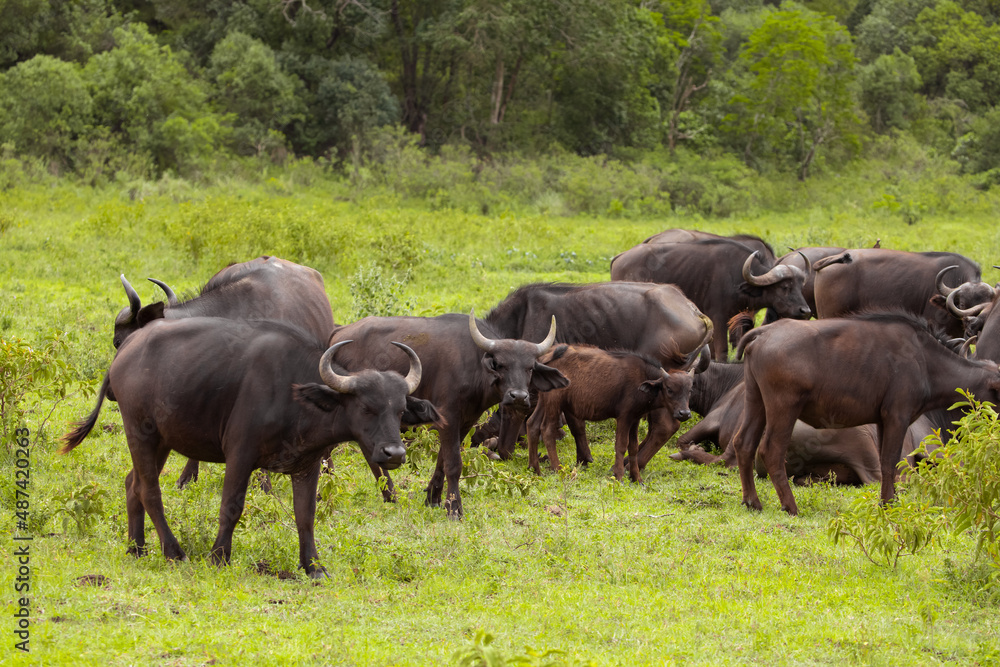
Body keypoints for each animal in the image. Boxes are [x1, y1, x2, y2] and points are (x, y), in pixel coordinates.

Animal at [61, 320, 438, 580]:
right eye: (366, 408)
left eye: (399, 410)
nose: (394, 454)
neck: (293, 395)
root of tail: (124, 354)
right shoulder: (239, 456)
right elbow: (231, 507)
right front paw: (218, 556)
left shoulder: (307, 464)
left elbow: (305, 515)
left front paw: (313, 566)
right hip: (139, 432)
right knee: (150, 491)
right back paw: (173, 551)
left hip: (163, 441)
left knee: (133, 484)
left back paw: (136, 548)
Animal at [330, 312, 572, 516]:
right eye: (501, 364)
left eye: (529, 368)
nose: (519, 396)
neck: (473, 367)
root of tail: (339, 334)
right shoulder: (448, 418)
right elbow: (454, 463)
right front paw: (454, 507)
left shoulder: (465, 421)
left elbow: (442, 460)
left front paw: (433, 498)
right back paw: (386, 494)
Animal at [524, 348, 696, 482]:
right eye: (669, 389)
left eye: (689, 391)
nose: (684, 413)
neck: (643, 377)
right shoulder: (624, 417)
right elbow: (621, 445)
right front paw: (618, 475)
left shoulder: (635, 419)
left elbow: (633, 447)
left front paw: (636, 478)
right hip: (554, 402)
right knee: (547, 430)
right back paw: (558, 469)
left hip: (544, 400)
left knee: (532, 424)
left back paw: (534, 468)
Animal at [608, 239, 812, 360]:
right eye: (785, 287)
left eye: (800, 285)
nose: (805, 311)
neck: (737, 277)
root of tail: (619, 257)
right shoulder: (719, 318)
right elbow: (721, 352)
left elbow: (713, 352)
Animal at [728, 314, 1000, 516]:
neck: (925, 361)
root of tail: (764, 332)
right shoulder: (897, 417)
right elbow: (890, 461)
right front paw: (888, 504)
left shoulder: (882, 421)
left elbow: (887, 462)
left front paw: (888, 501)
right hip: (784, 408)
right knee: (771, 450)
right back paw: (790, 506)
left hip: (756, 400)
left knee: (743, 443)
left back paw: (752, 501)